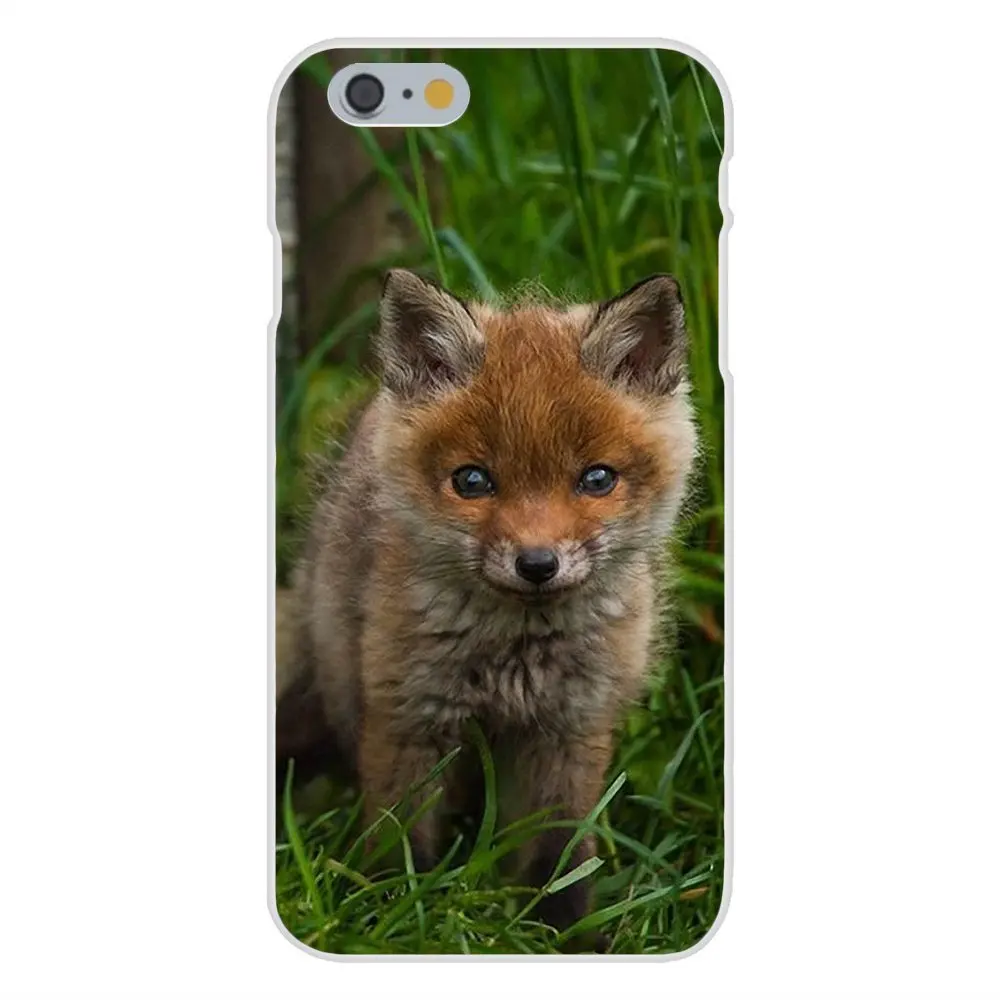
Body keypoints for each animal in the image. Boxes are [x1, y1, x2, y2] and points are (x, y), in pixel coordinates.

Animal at [277, 267, 698, 939]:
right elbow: (401, 838)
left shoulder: (571, 728)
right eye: (472, 481)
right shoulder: (408, 716)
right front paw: (400, 922)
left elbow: (559, 855)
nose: (537, 564)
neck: (513, 658)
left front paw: (567, 937)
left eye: (597, 479)